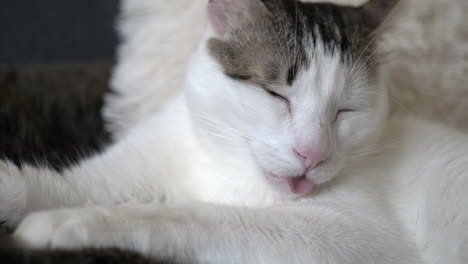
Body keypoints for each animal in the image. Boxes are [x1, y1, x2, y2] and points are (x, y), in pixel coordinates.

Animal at [0, 0, 468, 262]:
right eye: (275, 94)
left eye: (346, 111)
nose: (312, 154)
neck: (227, 171)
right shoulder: (114, 174)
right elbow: (52, 186)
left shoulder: (359, 239)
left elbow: (192, 217)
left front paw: (63, 224)